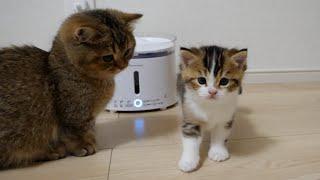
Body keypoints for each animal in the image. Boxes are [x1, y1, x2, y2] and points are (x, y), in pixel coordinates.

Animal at [0, 8, 142, 168]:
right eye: (108, 57)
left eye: (127, 51)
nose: (123, 65)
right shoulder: (74, 115)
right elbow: (76, 133)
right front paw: (83, 146)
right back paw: (51, 151)